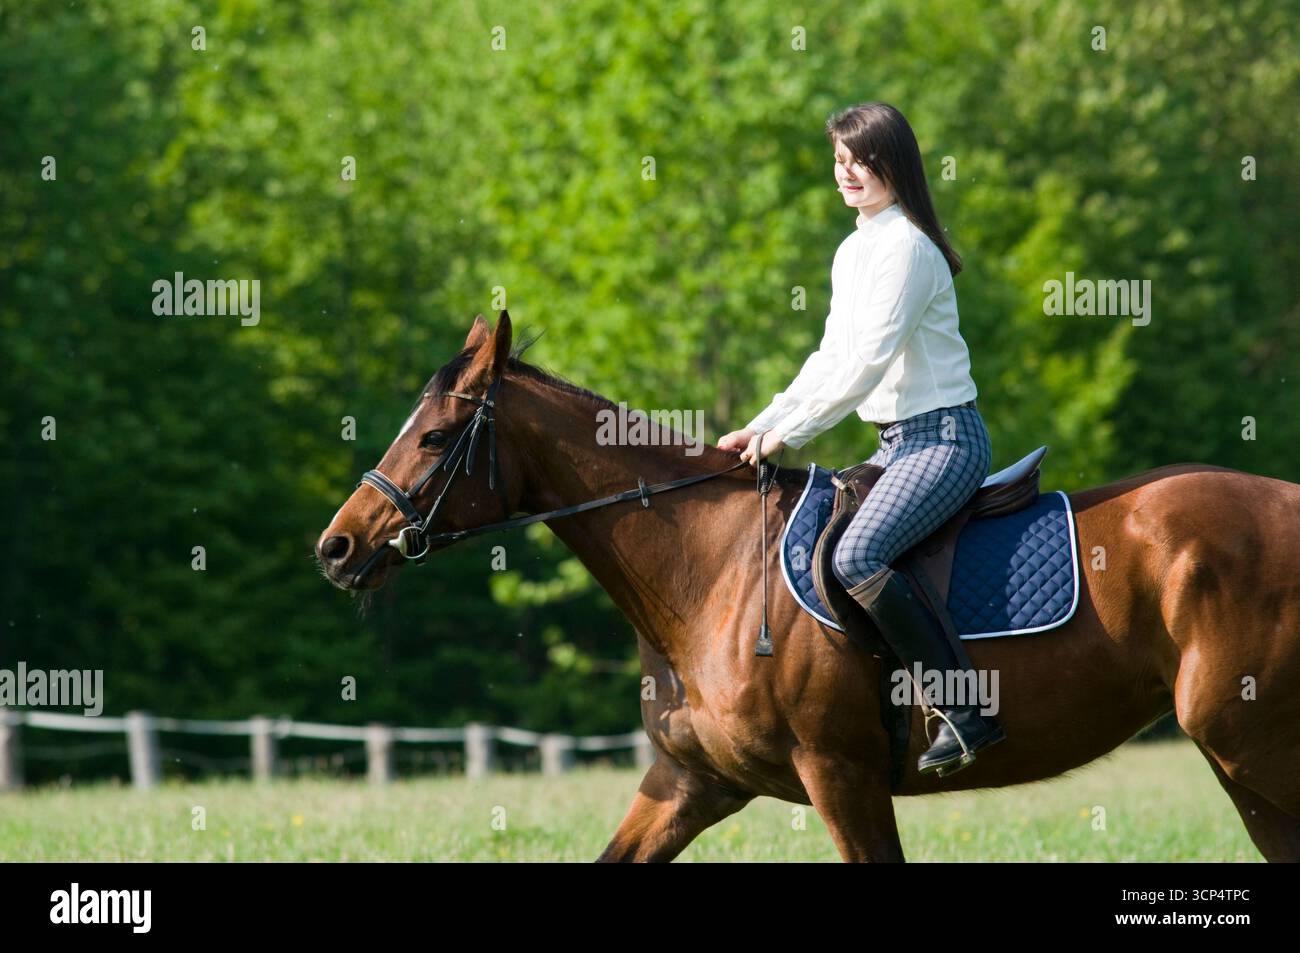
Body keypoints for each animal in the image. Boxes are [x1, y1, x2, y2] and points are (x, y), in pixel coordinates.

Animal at [316, 311, 1300, 862]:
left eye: (435, 437)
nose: (336, 546)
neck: (712, 569)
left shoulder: (840, 774)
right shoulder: (688, 781)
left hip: (1246, 741)